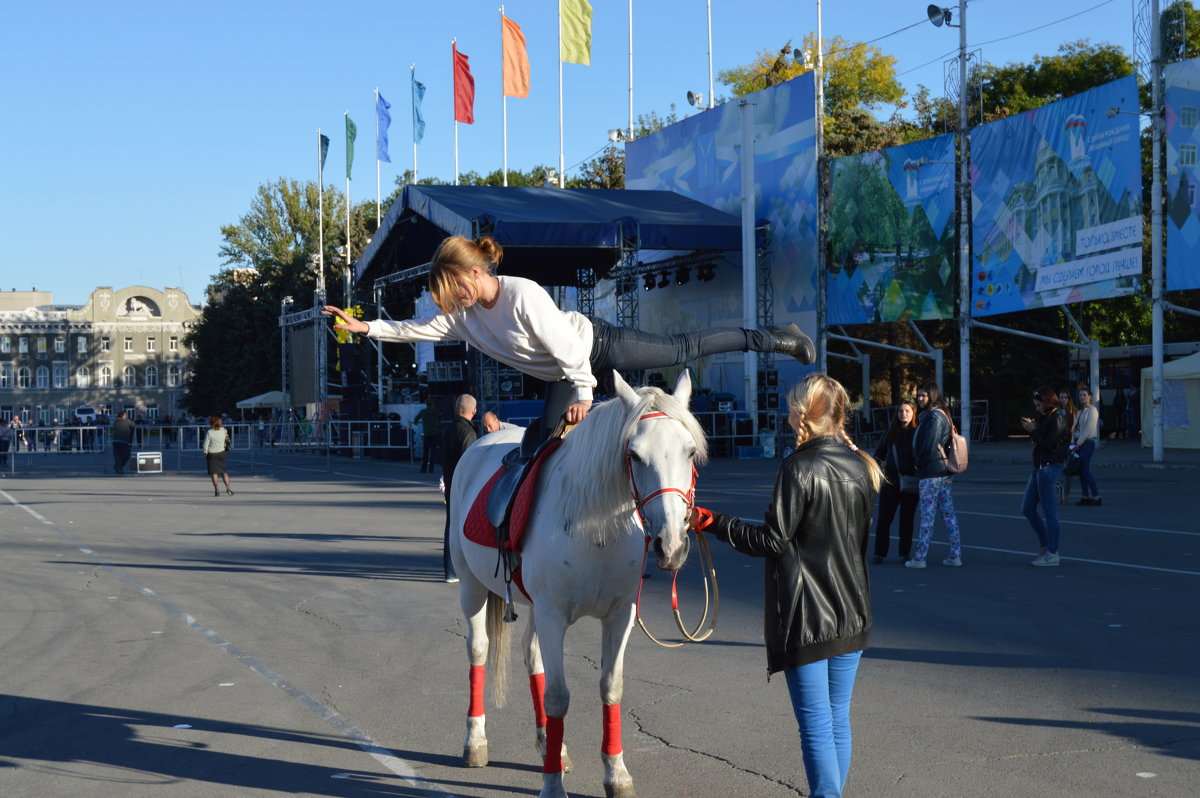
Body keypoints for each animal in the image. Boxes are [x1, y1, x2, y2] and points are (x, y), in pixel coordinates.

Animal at [448, 372, 700, 796]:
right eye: (634, 455)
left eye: (691, 453)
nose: (672, 545)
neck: (595, 527)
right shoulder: (553, 615)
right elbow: (557, 697)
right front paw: (551, 785)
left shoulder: (619, 616)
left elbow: (610, 686)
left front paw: (616, 773)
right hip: (472, 588)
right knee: (478, 651)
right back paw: (475, 742)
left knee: (531, 656)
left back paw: (550, 744)